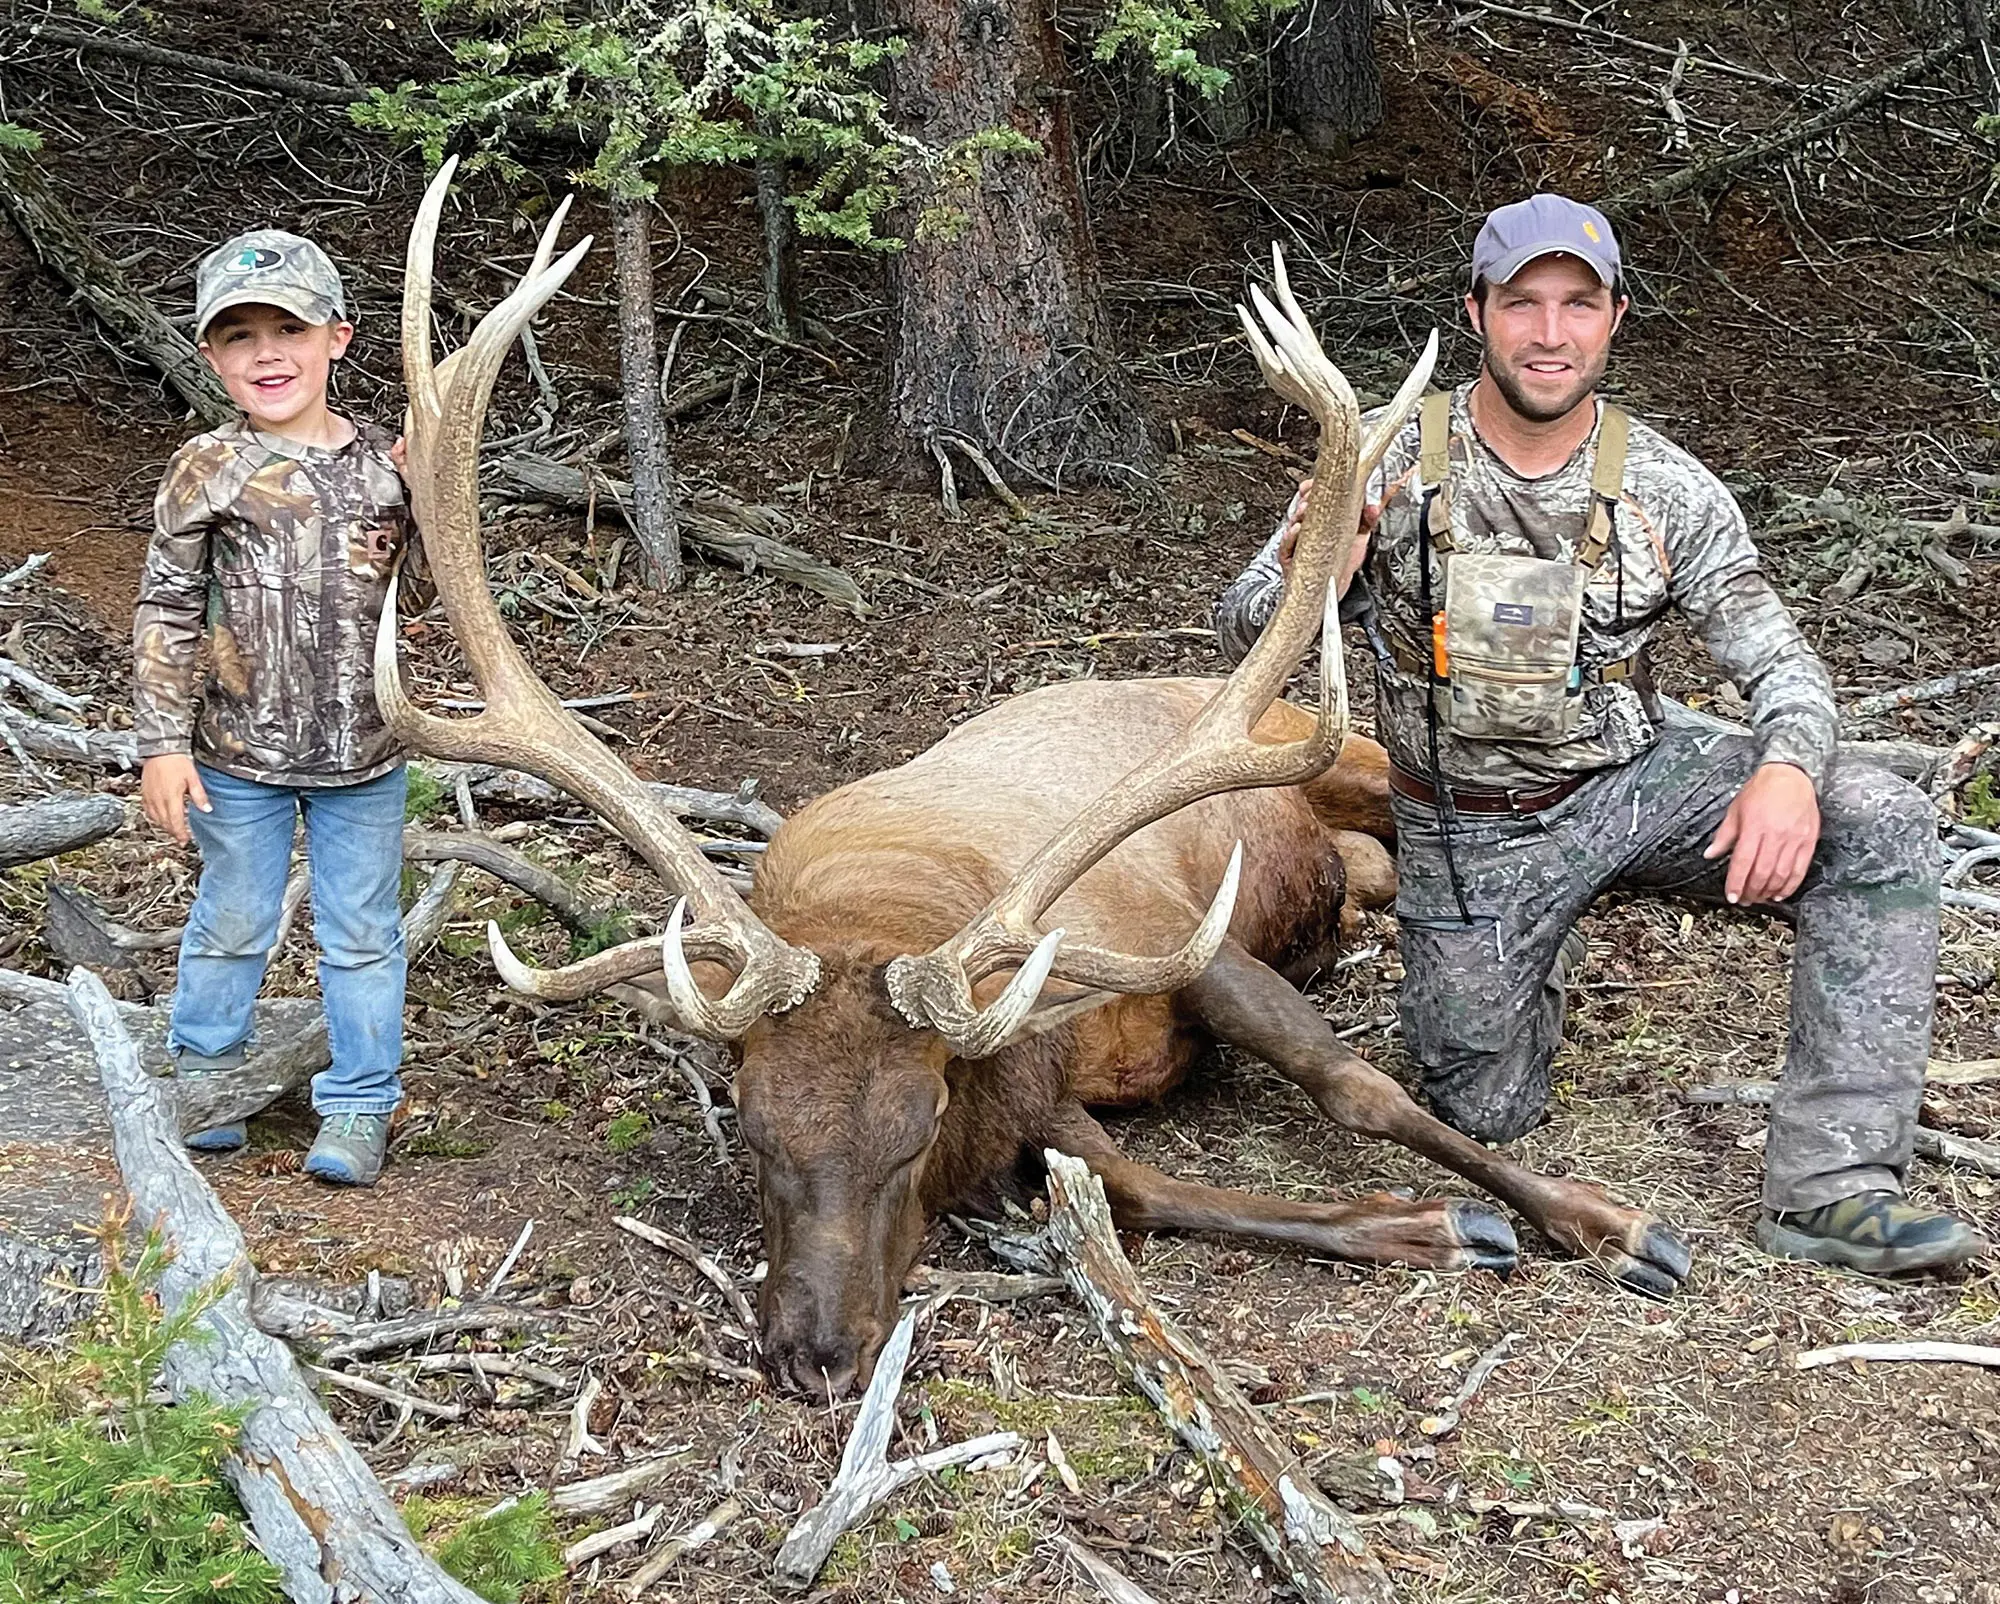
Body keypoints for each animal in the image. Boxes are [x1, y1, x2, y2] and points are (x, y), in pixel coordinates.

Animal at [382, 159, 1696, 1384]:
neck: (881, 901)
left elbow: (1355, 1085)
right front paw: (1430, 1223)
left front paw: (1601, 1222)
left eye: (915, 1125)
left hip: (1346, 753)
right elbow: (1135, 1190)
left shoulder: (1176, 941)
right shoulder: (1040, 1080)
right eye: (750, 1130)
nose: (814, 1352)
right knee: (1367, 878)